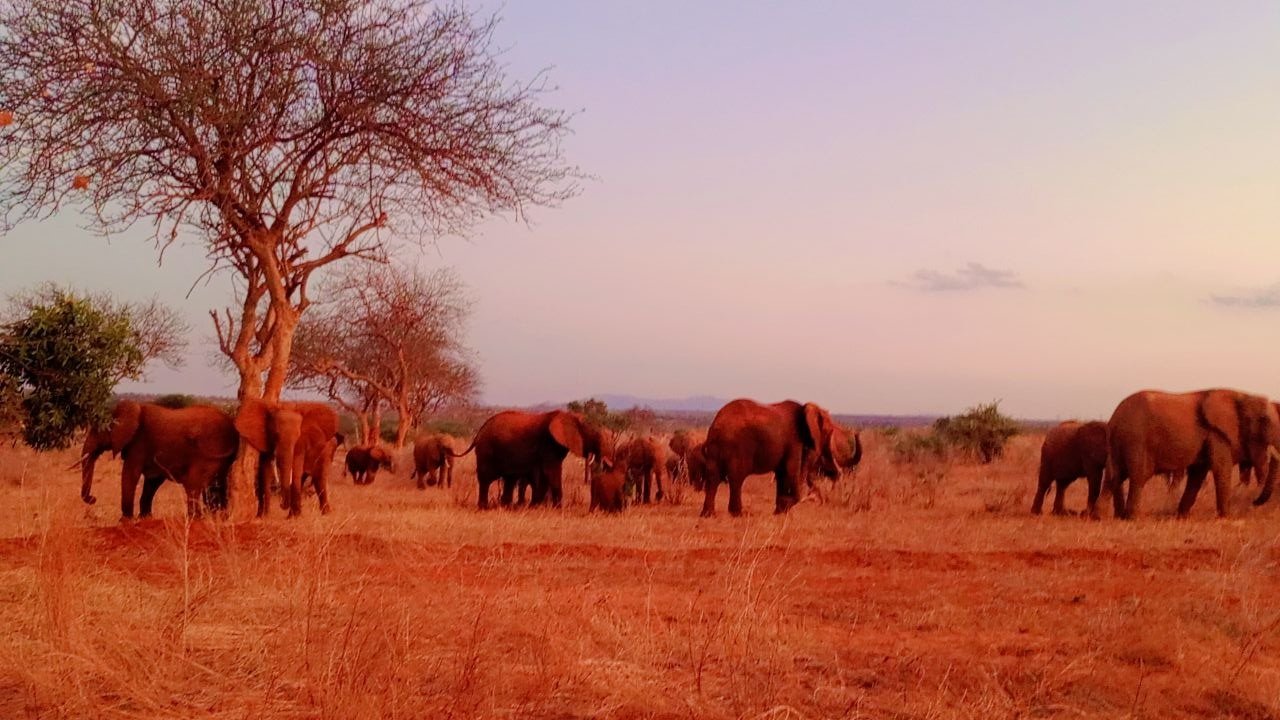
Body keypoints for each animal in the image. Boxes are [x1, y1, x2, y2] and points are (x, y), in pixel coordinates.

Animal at [79, 400, 239, 519]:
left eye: (96, 430)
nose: (93, 498)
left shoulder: (139, 444)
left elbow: (130, 474)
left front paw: (125, 520)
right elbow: (152, 481)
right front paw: (145, 517)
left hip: (209, 453)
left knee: (193, 485)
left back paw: (196, 518)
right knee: (215, 486)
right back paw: (218, 516)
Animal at [450, 409, 614, 509]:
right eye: (594, 434)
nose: (608, 463)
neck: (569, 416)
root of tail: (479, 432)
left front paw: (538, 506)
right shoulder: (549, 444)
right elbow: (551, 472)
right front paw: (556, 508)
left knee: (509, 479)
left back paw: (506, 506)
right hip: (486, 450)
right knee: (485, 480)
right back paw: (484, 507)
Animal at [700, 399, 841, 517]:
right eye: (829, 431)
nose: (836, 474)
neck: (805, 408)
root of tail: (717, 424)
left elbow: (782, 474)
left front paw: (780, 512)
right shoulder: (794, 442)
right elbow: (790, 471)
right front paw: (785, 507)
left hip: (714, 449)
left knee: (713, 477)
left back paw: (708, 514)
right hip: (737, 447)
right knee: (736, 478)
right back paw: (739, 514)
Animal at [1107, 389, 1280, 519]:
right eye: (1264, 419)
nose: (1253, 502)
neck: (1241, 396)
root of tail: (1113, 419)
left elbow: (1198, 474)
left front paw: (1182, 516)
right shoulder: (1217, 435)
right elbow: (1221, 470)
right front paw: (1226, 517)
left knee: (1115, 477)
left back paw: (1113, 516)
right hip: (1136, 440)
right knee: (1138, 477)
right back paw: (1132, 517)